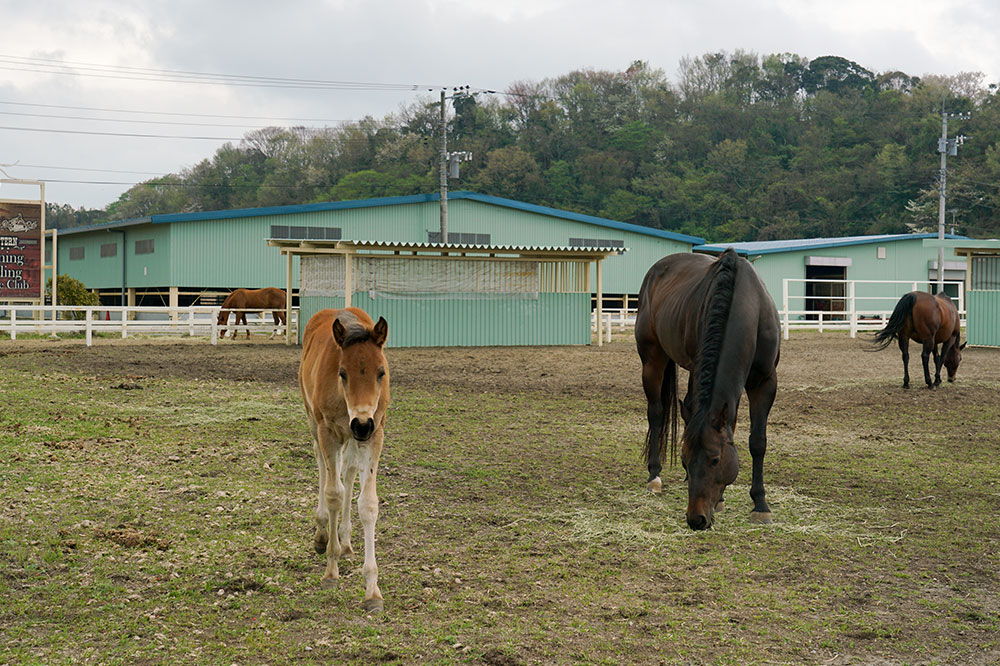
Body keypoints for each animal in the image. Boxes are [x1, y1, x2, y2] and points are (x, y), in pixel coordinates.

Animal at [632, 249, 780, 528]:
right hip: (652, 358)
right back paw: (654, 476)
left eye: (715, 460)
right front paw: (722, 500)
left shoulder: (765, 382)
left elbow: (757, 441)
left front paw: (760, 505)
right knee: (656, 412)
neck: (748, 307)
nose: (696, 519)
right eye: (685, 459)